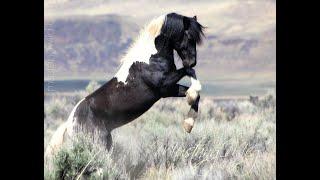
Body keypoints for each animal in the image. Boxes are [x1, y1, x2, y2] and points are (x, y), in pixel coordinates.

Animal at [45, 12, 205, 158]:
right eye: (189, 37)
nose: (192, 61)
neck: (150, 58)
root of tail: (69, 123)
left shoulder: (167, 90)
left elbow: (195, 93)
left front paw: (188, 124)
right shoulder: (164, 85)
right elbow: (190, 72)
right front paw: (189, 115)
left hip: (106, 142)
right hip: (98, 143)